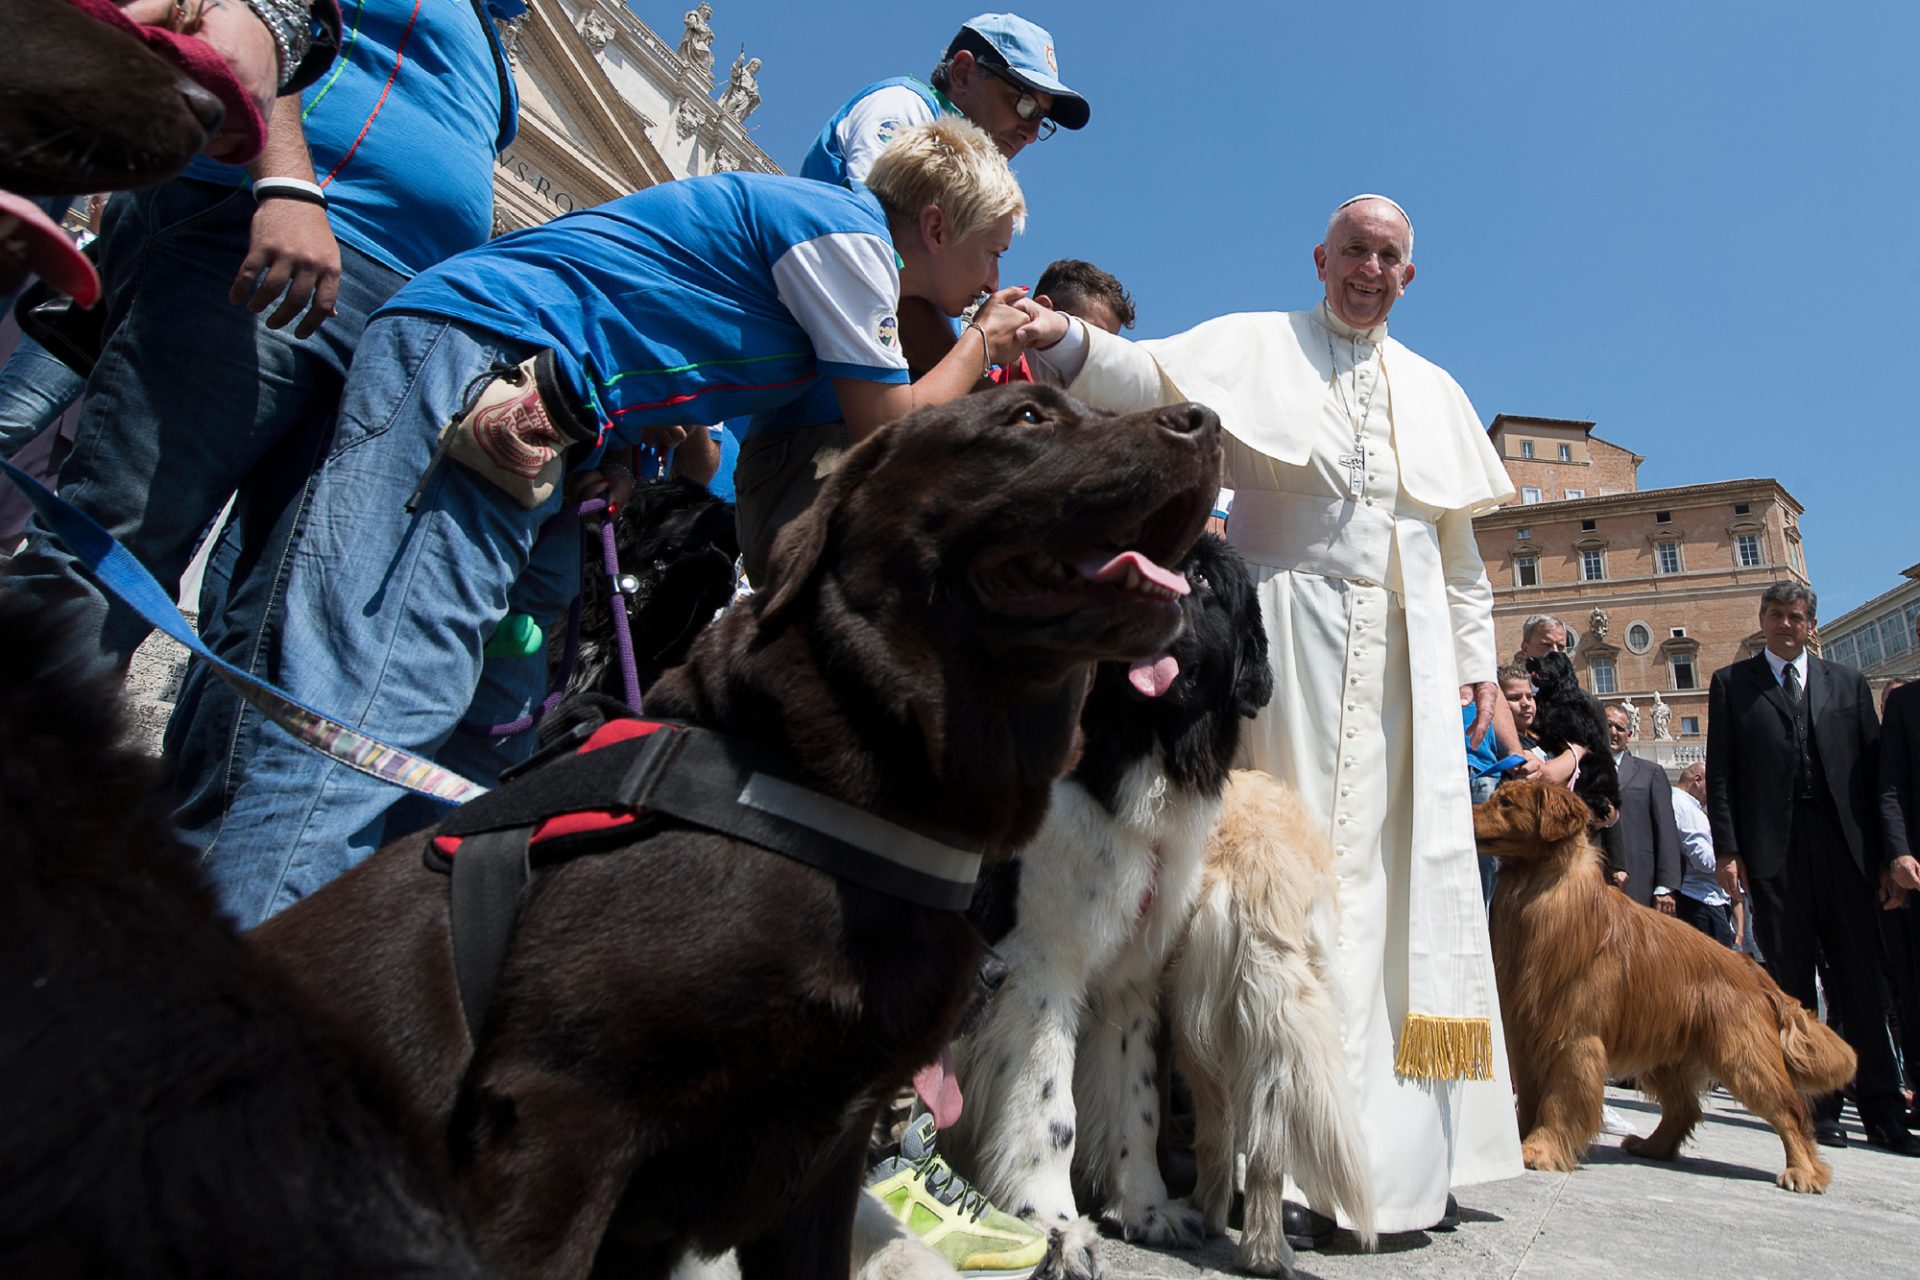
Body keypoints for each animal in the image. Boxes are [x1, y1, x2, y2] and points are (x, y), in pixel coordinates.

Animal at [944, 533, 1274, 1274]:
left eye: (1201, 578)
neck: (1142, 746)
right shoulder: (1039, 969)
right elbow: (1051, 1110)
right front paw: (1056, 1227)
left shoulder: (1131, 978)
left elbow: (1138, 1104)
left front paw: (1147, 1209)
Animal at [1466, 775, 1858, 1197]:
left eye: (1506, 804)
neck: (1538, 890)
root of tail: (1749, 966)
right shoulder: (1526, 1032)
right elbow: (1530, 1099)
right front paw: (1519, 1143)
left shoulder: (1573, 1035)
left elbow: (1558, 1100)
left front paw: (1539, 1149)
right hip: (1665, 1054)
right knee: (1685, 1108)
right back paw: (1652, 1147)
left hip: (1741, 1056)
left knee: (1789, 1111)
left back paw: (1803, 1171)